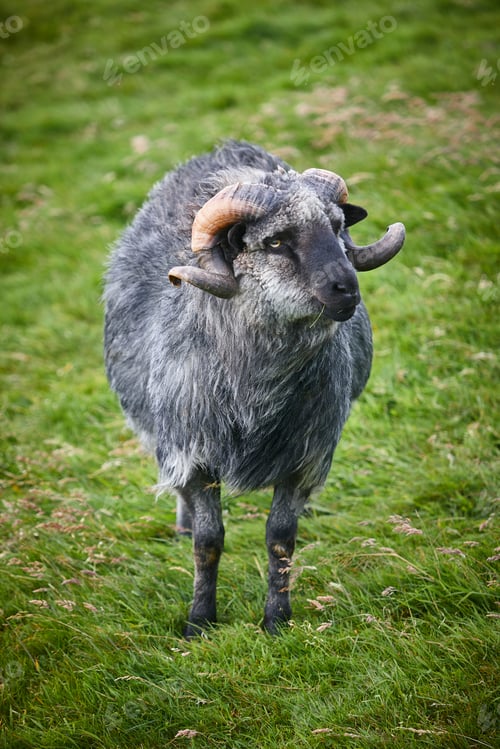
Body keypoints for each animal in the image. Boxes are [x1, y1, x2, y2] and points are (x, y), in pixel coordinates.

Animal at [104, 140, 405, 637]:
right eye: (276, 241)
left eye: (337, 226)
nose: (347, 289)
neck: (255, 392)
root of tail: (225, 149)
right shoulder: (194, 453)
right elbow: (208, 541)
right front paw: (199, 622)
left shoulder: (303, 455)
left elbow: (281, 539)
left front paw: (277, 619)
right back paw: (182, 525)